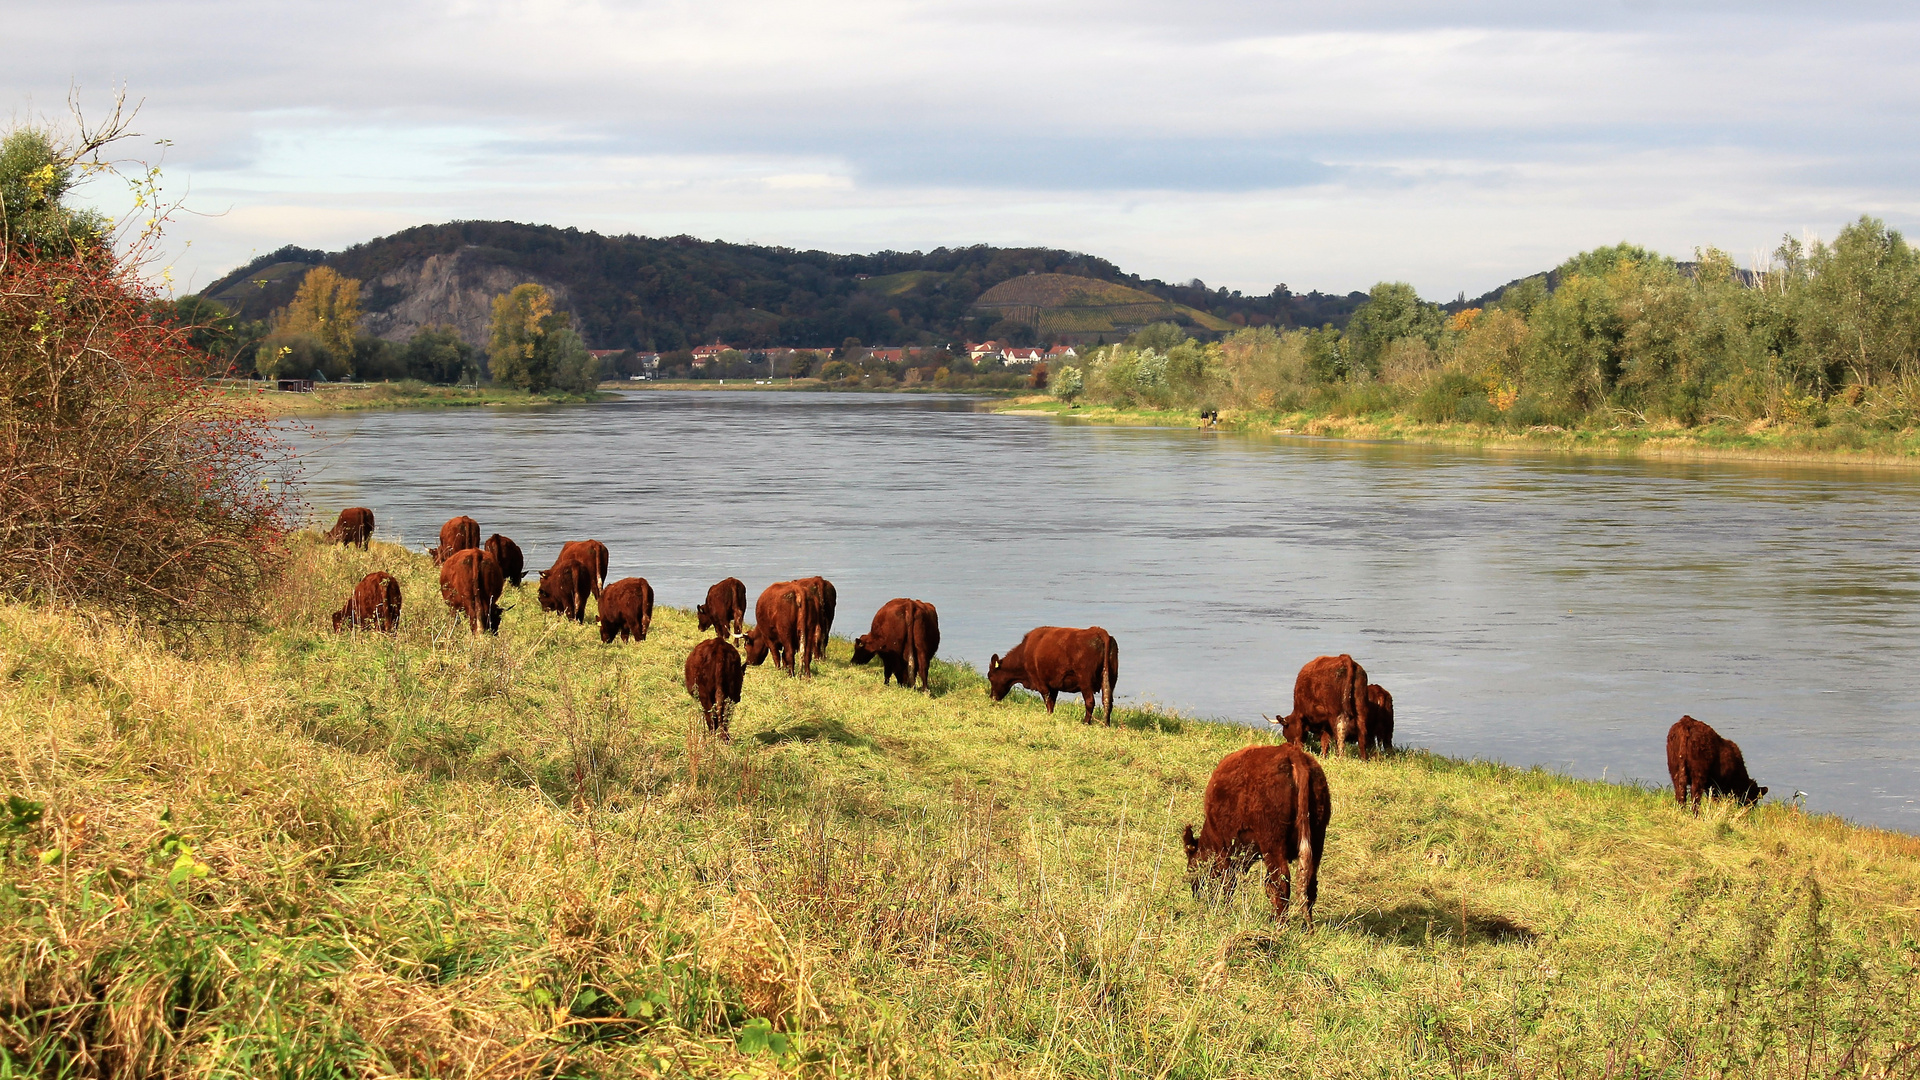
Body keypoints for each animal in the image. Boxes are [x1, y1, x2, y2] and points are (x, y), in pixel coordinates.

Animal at [983, 622, 1121, 722]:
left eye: (990, 677)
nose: (992, 697)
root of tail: (1098, 631)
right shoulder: (1054, 684)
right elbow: (1052, 701)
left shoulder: (1040, 682)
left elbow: (1048, 701)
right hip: (1111, 677)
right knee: (1108, 701)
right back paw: (1106, 724)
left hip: (1085, 681)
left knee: (1090, 701)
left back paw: (1086, 722)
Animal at [1175, 737, 1328, 926]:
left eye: (1192, 868)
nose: (1196, 895)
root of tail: (1292, 753)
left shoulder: (1225, 849)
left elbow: (1228, 883)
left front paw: (1225, 911)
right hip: (1317, 838)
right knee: (1308, 884)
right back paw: (1305, 927)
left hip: (1272, 843)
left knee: (1282, 881)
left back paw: (1280, 925)